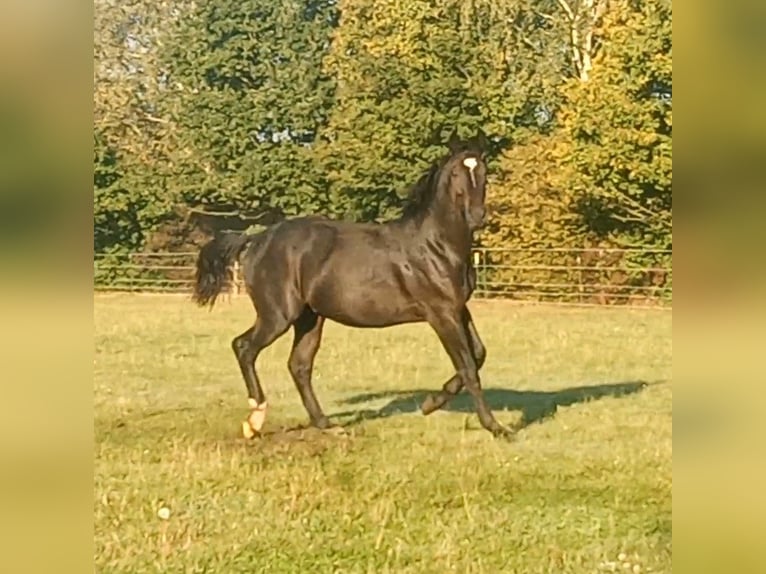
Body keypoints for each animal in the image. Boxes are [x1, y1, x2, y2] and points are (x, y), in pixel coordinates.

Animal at [192, 128, 516, 438]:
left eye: (484, 171)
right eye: (456, 174)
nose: (477, 217)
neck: (436, 245)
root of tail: (257, 239)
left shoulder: (459, 308)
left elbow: (479, 354)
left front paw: (429, 404)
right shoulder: (441, 313)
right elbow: (469, 366)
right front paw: (496, 427)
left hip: (310, 318)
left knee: (299, 365)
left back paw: (325, 424)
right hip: (278, 315)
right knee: (244, 347)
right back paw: (255, 419)